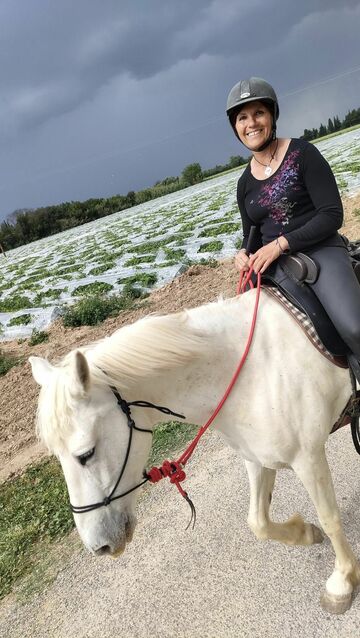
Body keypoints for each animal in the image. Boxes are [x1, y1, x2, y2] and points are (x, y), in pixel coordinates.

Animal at [30, 292, 360, 616]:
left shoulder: (308, 457)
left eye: (86, 454)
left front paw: (342, 581)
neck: (251, 372)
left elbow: (329, 518)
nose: (99, 547)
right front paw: (305, 532)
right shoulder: (256, 457)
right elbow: (258, 522)